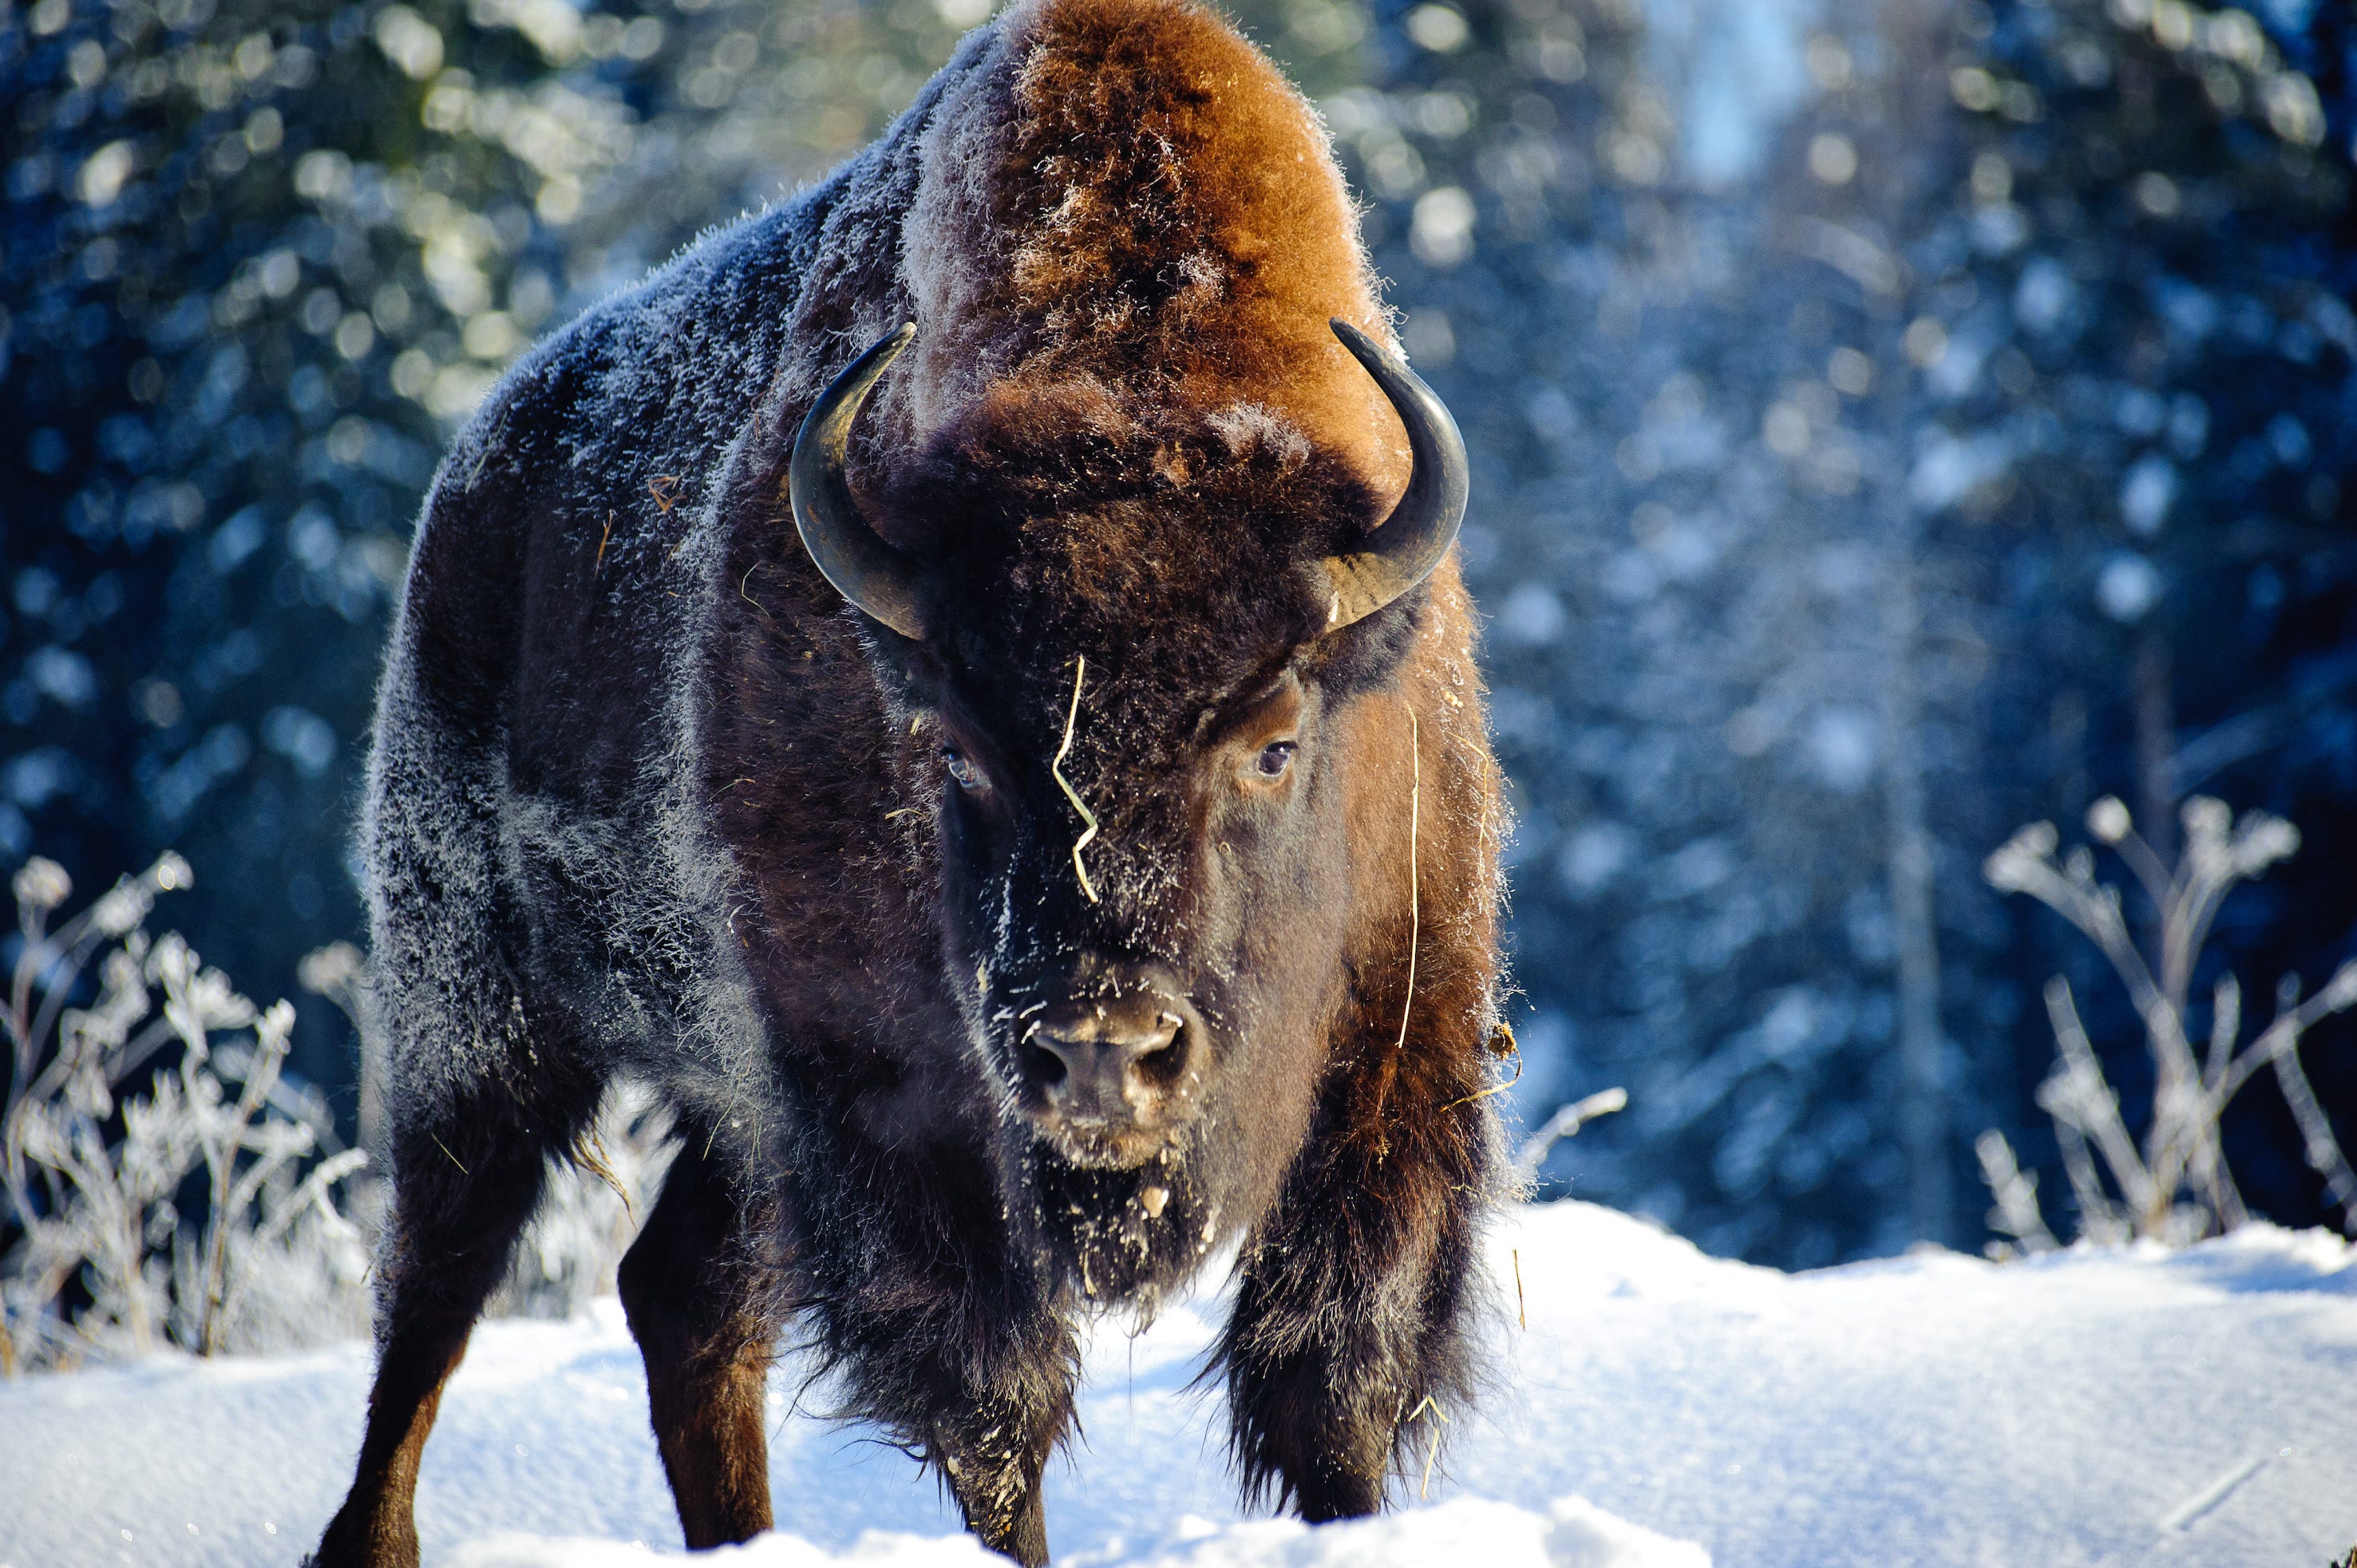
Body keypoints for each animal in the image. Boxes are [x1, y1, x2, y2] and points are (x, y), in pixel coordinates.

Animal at [315, 0, 1507, 1562]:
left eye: (1275, 742)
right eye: (951, 745)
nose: (1101, 1054)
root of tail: (468, 486)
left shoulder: (1396, 1057)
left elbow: (1331, 1387)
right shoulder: (887, 1115)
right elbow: (995, 1415)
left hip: (720, 1100)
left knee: (683, 1297)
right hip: (479, 1018)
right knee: (437, 1290)